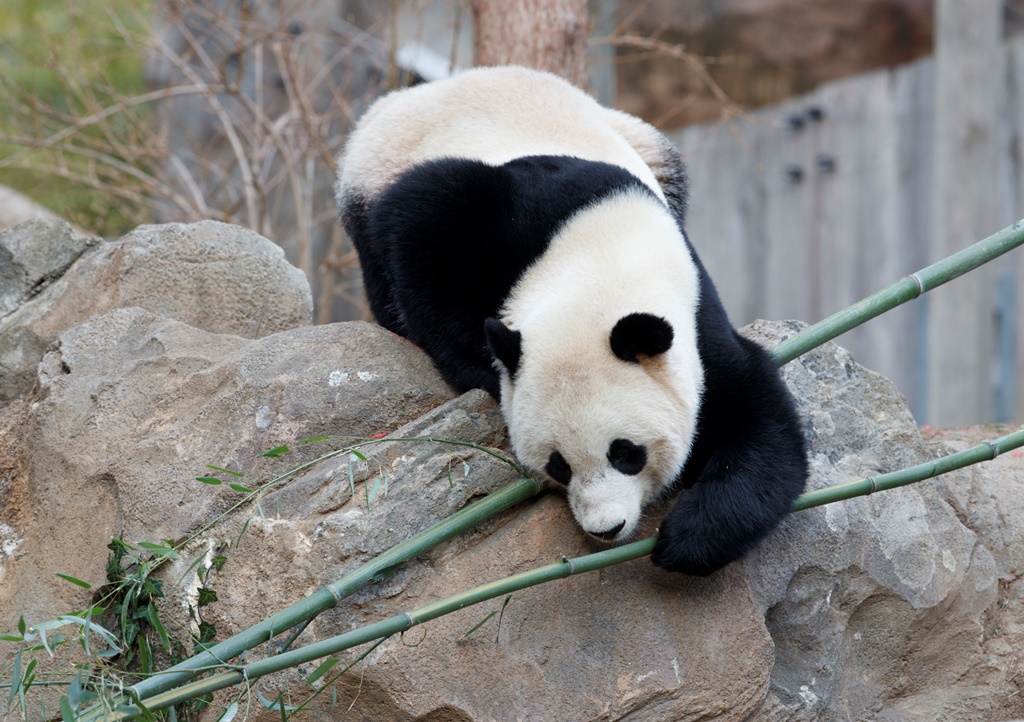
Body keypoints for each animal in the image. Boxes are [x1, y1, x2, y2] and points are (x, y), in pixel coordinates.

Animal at [337, 66, 806, 573]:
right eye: (558, 463)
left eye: (626, 453)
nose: (608, 528)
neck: (607, 261)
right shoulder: (487, 215)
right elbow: (420, 231)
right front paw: (481, 367)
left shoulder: (697, 331)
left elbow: (762, 427)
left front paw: (686, 539)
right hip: (372, 167)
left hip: (646, 143)